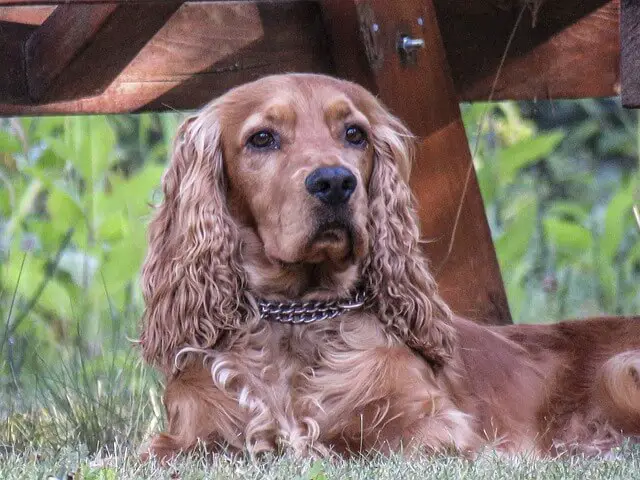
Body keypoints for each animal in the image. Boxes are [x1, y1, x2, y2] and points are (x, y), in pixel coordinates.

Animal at [140, 73, 640, 460]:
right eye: (262, 138)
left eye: (354, 134)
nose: (335, 182)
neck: (298, 320)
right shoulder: (187, 437)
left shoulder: (438, 428)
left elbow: (354, 440)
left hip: (621, 371)